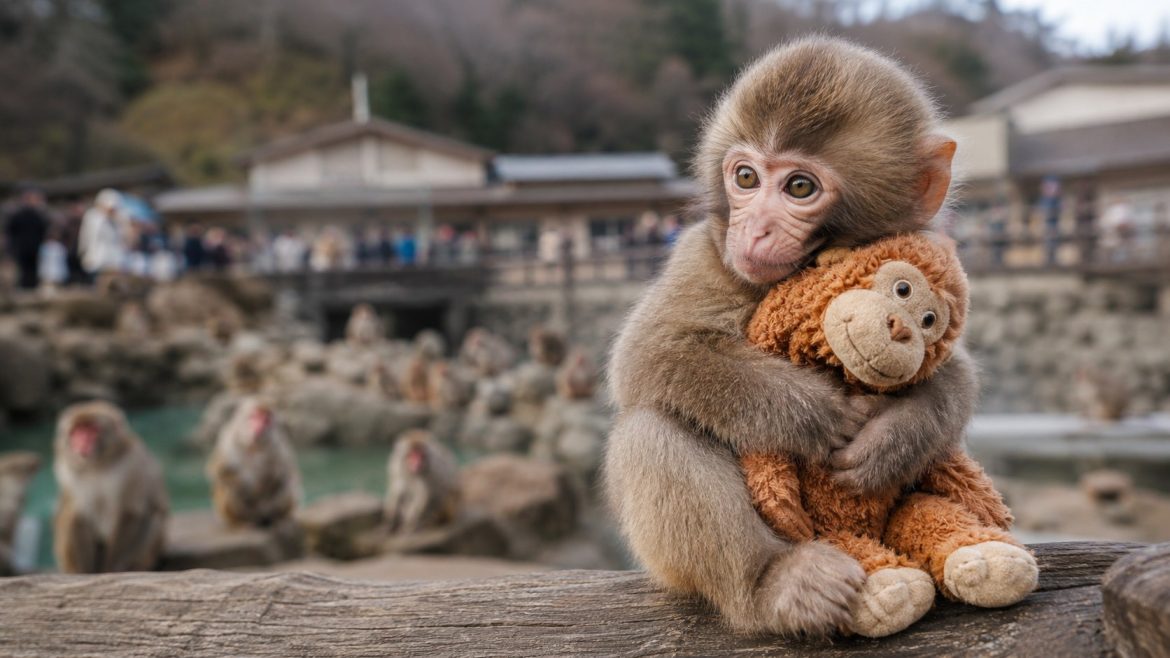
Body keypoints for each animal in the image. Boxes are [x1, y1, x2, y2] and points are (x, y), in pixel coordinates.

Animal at [53, 401, 170, 573]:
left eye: (91, 431)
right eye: (76, 432)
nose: (81, 444)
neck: (98, 464)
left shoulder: (132, 464)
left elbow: (130, 512)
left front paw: (112, 569)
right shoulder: (66, 469)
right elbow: (79, 514)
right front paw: (85, 572)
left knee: (153, 519)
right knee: (70, 516)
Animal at [207, 397, 302, 528]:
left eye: (266, 420)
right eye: (254, 417)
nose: (259, 428)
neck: (253, 447)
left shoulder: (277, 443)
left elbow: (283, 473)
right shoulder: (227, 440)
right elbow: (222, 471)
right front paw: (247, 491)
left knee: (286, 484)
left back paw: (276, 518)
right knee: (229, 487)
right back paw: (243, 521)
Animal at [602, 36, 978, 636]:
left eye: (800, 186)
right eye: (746, 178)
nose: (754, 231)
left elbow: (954, 371)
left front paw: (897, 435)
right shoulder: (707, 254)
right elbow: (649, 354)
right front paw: (820, 414)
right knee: (652, 427)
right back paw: (771, 584)